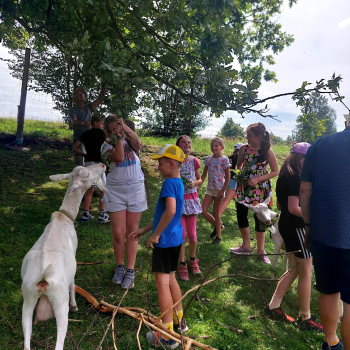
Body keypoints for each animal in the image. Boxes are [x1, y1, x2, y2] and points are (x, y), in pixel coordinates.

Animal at [21, 164, 106, 350]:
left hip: (28, 298)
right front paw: (74, 306)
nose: (103, 165)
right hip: (60, 302)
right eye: (86, 174)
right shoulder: (74, 255)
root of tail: (43, 278)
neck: (64, 218)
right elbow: (73, 283)